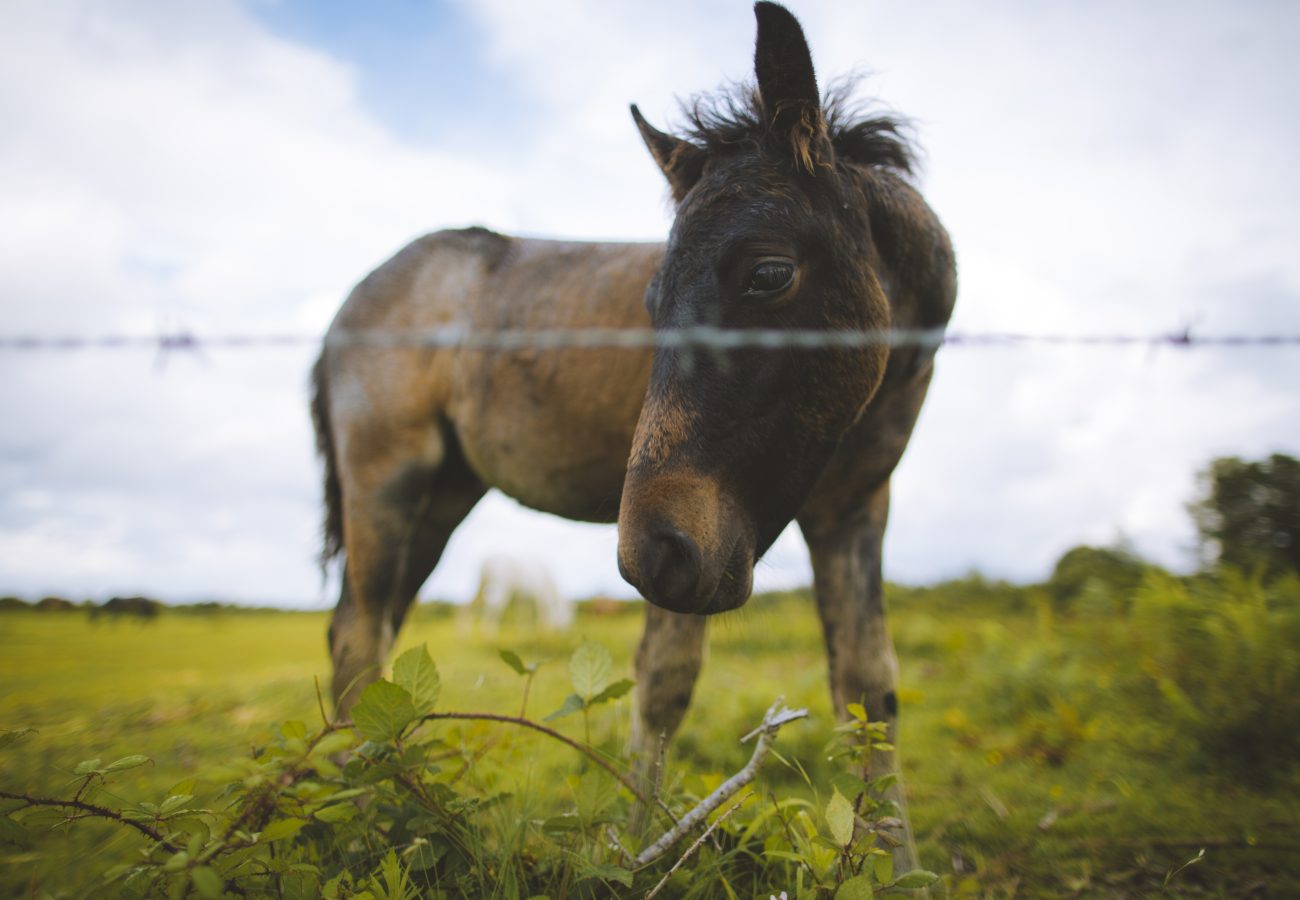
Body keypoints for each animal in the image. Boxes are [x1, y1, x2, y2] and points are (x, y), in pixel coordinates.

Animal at [311, 1, 955, 871]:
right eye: (651, 303)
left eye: (769, 273)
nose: (651, 551)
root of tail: (352, 302)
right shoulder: (701, 547)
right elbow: (666, 680)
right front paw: (638, 851)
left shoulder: (851, 510)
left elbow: (869, 687)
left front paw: (899, 869)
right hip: (386, 482)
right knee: (358, 635)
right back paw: (365, 808)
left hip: (446, 499)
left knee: (369, 629)